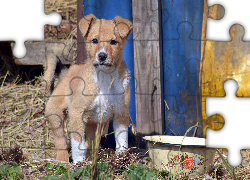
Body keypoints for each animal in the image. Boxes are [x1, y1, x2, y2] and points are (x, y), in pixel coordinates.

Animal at [44, 13, 133, 164]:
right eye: (94, 40)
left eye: (113, 42)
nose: (102, 56)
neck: (104, 77)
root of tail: (68, 72)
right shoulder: (76, 113)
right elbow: (77, 144)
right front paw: (79, 163)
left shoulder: (121, 113)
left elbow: (122, 139)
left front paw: (121, 157)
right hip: (55, 115)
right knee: (61, 142)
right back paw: (63, 161)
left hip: (97, 125)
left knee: (92, 143)